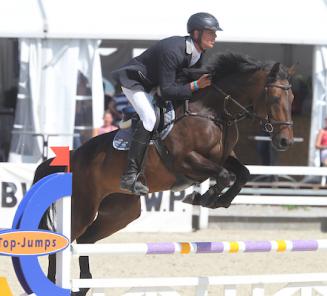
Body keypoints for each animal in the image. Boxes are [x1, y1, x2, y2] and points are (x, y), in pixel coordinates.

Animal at [34, 52, 296, 294]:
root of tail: (73, 157)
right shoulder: (186, 160)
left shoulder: (222, 158)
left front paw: (215, 200)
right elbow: (224, 175)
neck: (212, 111)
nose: (285, 141)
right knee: (63, 241)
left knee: (86, 240)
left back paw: (84, 285)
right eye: (274, 97)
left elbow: (242, 173)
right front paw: (202, 198)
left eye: (292, 98)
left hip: (121, 211)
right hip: (82, 207)